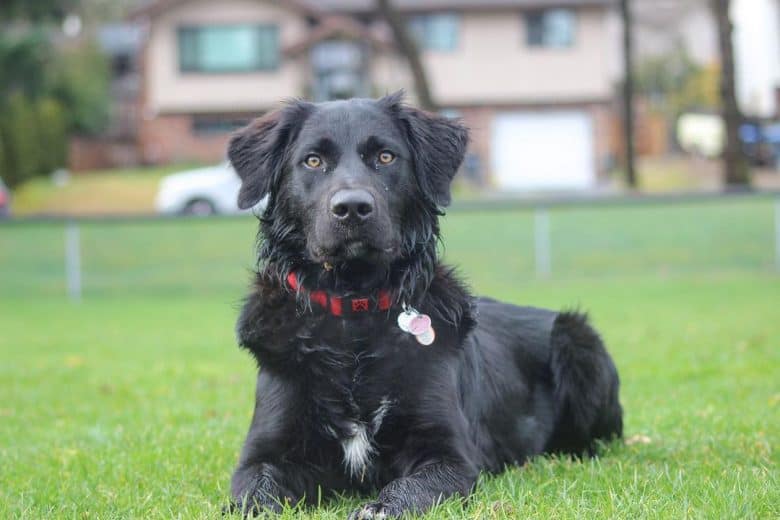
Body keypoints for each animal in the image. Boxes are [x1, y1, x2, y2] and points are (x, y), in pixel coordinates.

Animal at [225, 91, 620, 516]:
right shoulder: (262, 455)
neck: (353, 312)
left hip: (576, 338)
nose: (352, 208)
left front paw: (378, 507)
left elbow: (409, 488)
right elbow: (254, 495)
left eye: (386, 157)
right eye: (313, 160)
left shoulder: (450, 456)